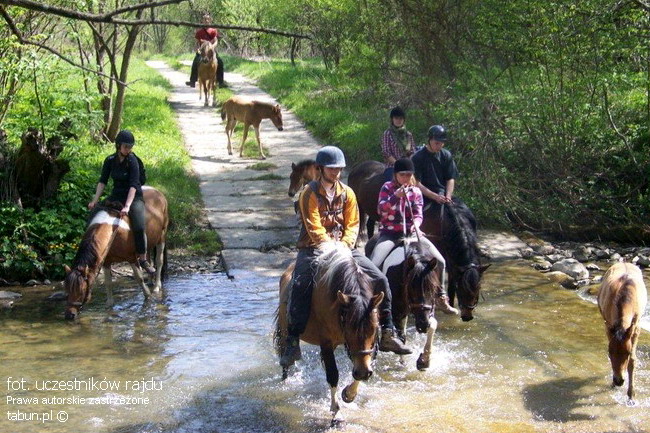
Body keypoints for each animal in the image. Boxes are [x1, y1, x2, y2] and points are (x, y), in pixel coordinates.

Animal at [64, 187, 169, 320]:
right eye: (66, 288)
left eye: (82, 290)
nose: (69, 315)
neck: (113, 231)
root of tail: (157, 191)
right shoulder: (106, 262)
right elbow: (108, 283)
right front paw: (109, 307)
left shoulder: (131, 257)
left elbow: (139, 278)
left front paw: (148, 297)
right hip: (150, 242)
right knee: (148, 257)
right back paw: (150, 278)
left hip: (162, 237)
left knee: (159, 262)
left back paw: (156, 286)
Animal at [275, 245, 384, 423]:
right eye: (349, 328)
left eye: (374, 329)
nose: (363, 372)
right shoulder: (326, 342)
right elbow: (333, 374)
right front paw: (336, 411)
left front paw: (349, 394)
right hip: (285, 330)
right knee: (285, 357)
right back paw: (285, 380)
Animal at [366, 235, 442, 370]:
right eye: (411, 286)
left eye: (433, 287)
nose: (422, 325)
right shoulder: (396, 311)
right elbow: (400, 336)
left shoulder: (429, 308)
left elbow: (433, 325)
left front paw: (424, 360)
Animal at [597, 262, 647, 401]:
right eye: (609, 352)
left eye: (628, 353)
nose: (619, 381)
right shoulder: (608, 326)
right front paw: (613, 383)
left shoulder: (636, 327)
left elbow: (633, 360)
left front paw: (631, 394)